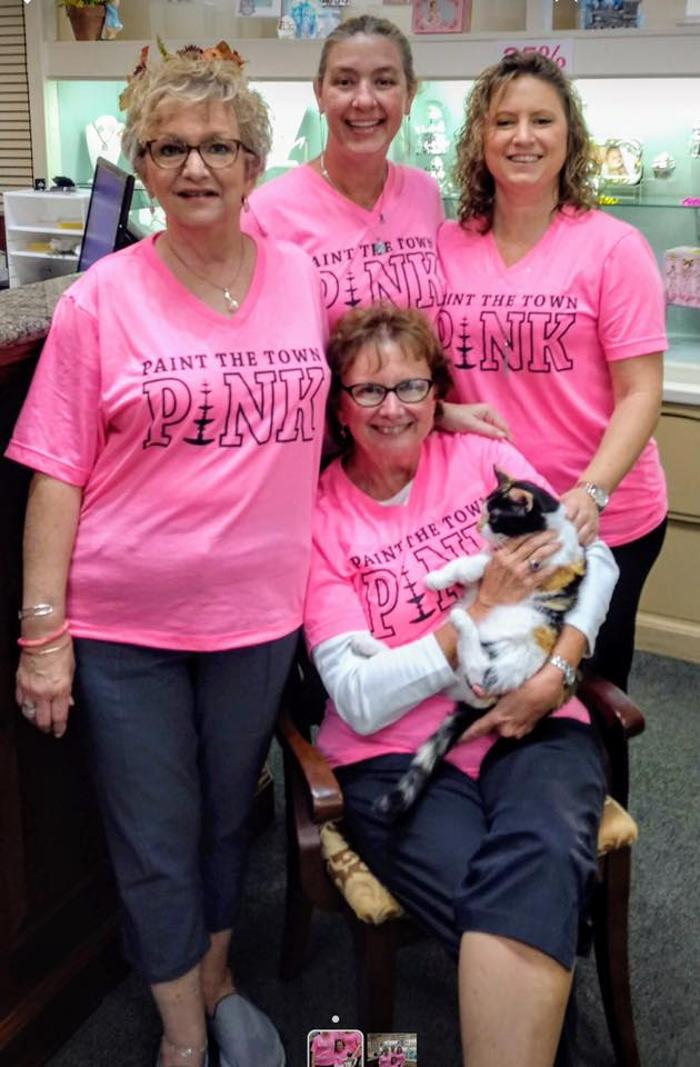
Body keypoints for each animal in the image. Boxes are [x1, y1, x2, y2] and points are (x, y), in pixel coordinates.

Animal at [353, 468, 586, 819]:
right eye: (482, 511)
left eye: (495, 517)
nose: (478, 527)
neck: (550, 529)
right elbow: (471, 561)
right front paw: (439, 576)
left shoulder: (545, 565)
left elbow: (476, 564)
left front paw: (439, 577)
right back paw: (365, 644)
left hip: (507, 659)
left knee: (479, 669)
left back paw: (462, 621)